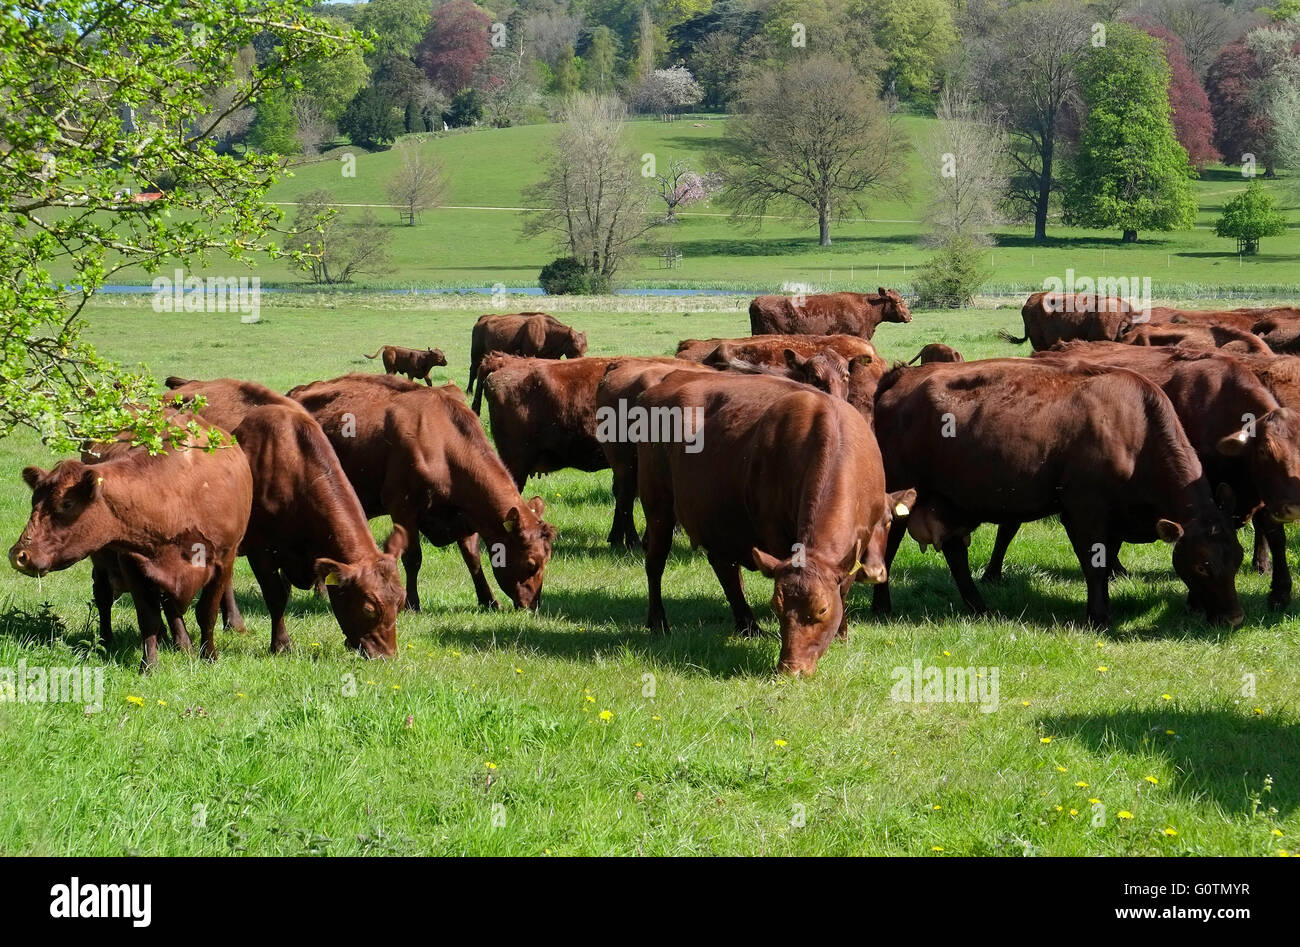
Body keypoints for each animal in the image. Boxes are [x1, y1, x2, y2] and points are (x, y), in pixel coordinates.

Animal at [9, 415, 254, 671]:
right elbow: (149, 619)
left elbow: (206, 613)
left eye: (66, 504)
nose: (19, 555)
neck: (177, 498)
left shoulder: (224, 560)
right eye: (34, 501)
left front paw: (209, 658)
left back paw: (183, 645)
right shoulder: (132, 563)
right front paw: (149, 667)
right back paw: (108, 640)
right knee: (104, 597)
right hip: (102, 563)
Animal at [288, 373, 556, 611]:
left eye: (547, 560)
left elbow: (472, 557)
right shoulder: (403, 507)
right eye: (531, 564)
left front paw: (488, 600)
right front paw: (412, 603)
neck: (444, 445)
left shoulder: (465, 513)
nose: (533, 606)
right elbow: (413, 558)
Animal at [635, 370, 910, 676]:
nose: (792, 668)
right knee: (655, 563)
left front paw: (842, 633)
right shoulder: (777, 537)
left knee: (725, 569)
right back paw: (658, 622)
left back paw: (748, 625)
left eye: (822, 610)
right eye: (777, 609)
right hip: (657, 508)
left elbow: (844, 587)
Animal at [872, 359, 1245, 628]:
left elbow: (1106, 558)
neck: (1135, 428)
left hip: (948, 501)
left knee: (954, 553)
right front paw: (1098, 616)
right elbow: (1094, 563)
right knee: (889, 546)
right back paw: (882, 607)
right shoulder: (1084, 508)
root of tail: (903, 375)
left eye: (1238, 560)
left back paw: (979, 607)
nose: (1234, 619)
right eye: (1203, 566)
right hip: (903, 493)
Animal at [986, 343, 1300, 608]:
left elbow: (1273, 534)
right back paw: (993, 573)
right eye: (1265, 452)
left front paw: (1278, 588)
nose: (1293, 506)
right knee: (1010, 524)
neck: (1219, 403)